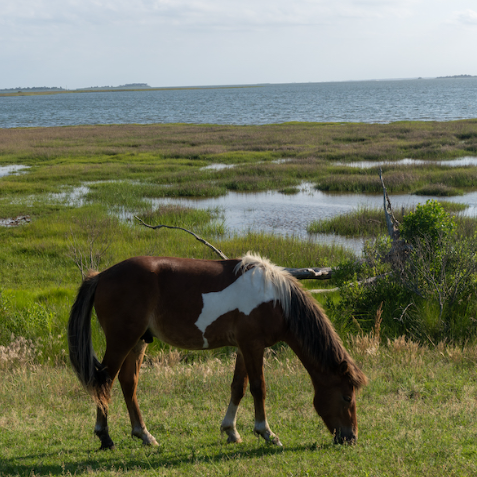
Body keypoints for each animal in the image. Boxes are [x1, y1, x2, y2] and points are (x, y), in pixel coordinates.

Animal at [67, 251, 366, 448]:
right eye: (347, 397)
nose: (350, 437)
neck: (276, 299)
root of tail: (100, 276)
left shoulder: (244, 348)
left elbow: (238, 388)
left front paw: (231, 431)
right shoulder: (253, 346)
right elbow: (259, 388)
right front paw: (267, 433)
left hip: (139, 341)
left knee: (129, 384)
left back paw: (144, 435)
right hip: (122, 340)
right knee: (105, 381)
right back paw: (105, 437)